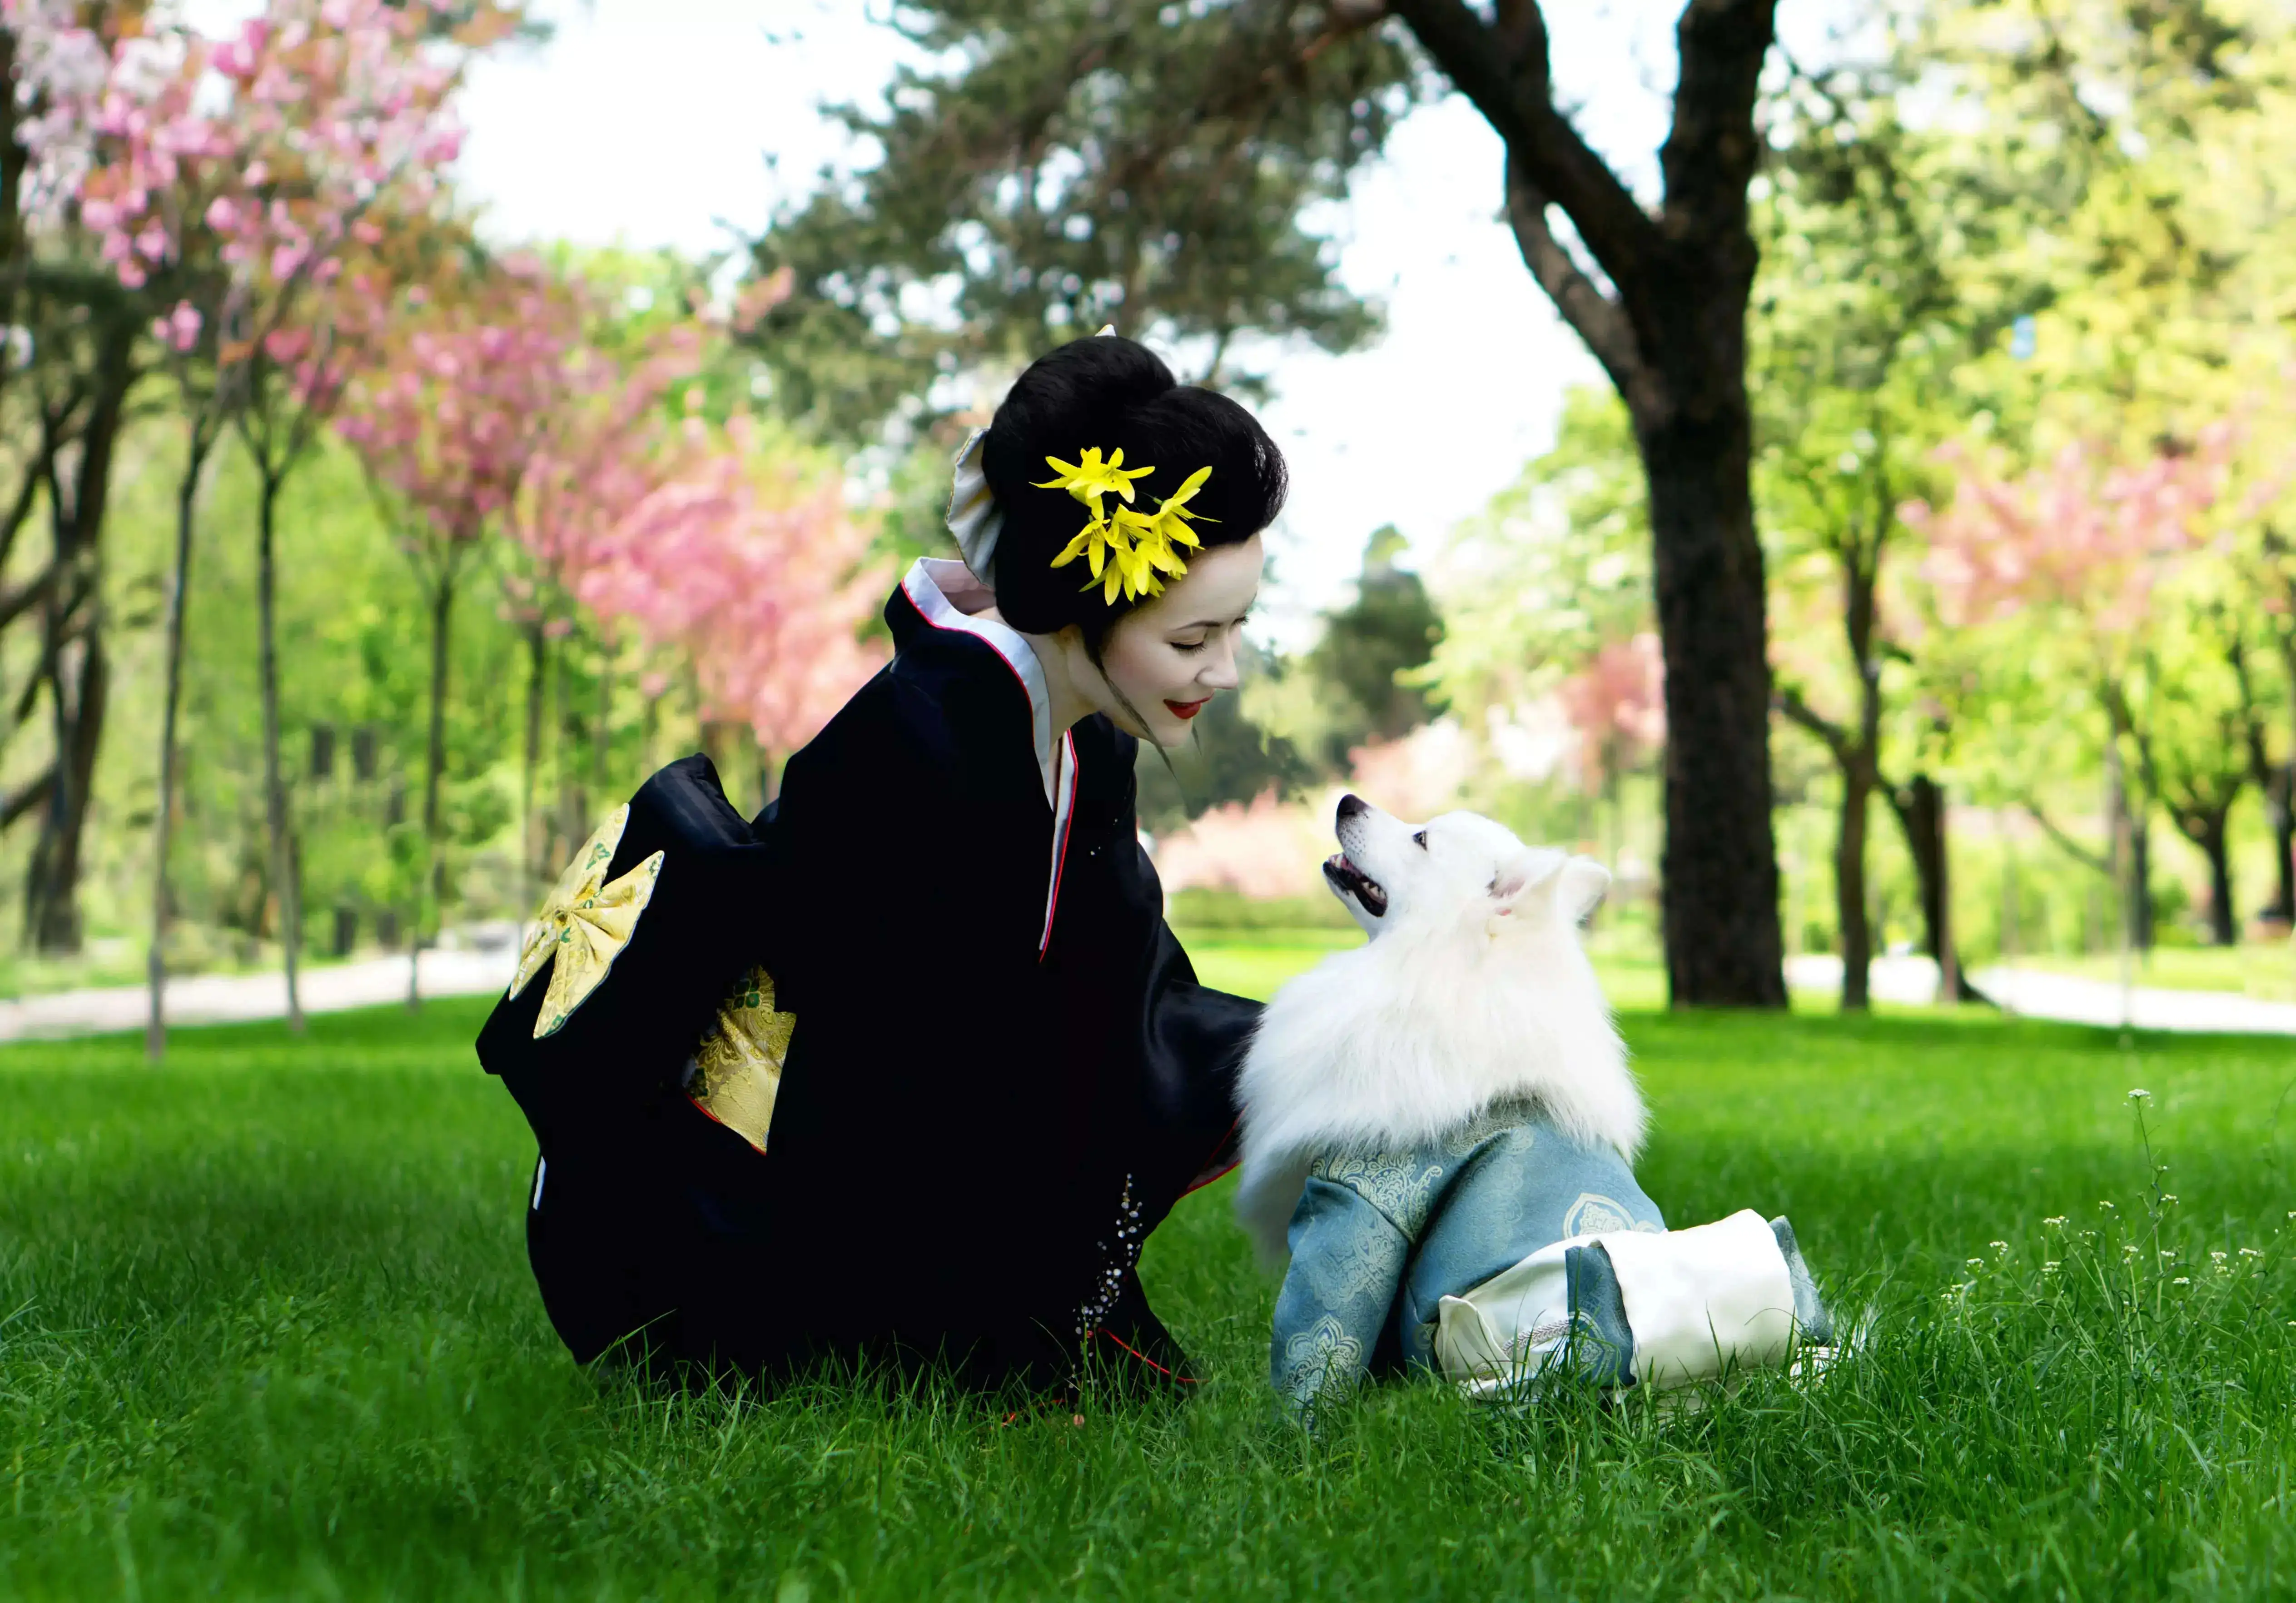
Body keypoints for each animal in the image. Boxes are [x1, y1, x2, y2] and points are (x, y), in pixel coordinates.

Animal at [1240, 794, 1827, 1405]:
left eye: (1421, 839)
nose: (1347, 801)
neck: (1434, 967)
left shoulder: (1363, 1197)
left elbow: (1323, 1323)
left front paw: (1298, 1420)